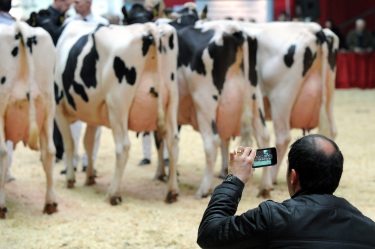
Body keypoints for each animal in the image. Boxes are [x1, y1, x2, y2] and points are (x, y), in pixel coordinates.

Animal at [0, 21, 57, 218]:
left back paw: (1, 206)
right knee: (49, 152)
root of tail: (19, 27)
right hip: (49, 107)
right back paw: (50, 204)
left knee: (2, 153)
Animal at [54, 20, 181, 204]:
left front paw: (70, 179)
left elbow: (69, 144)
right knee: (173, 142)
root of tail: (147, 28)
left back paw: (113, 194)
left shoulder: (58, 108)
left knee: (123, 147)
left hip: (117, 105)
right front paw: (89, 177)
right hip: (171, 100)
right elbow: (88, 143)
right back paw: (172, 192)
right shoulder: (93, 115)